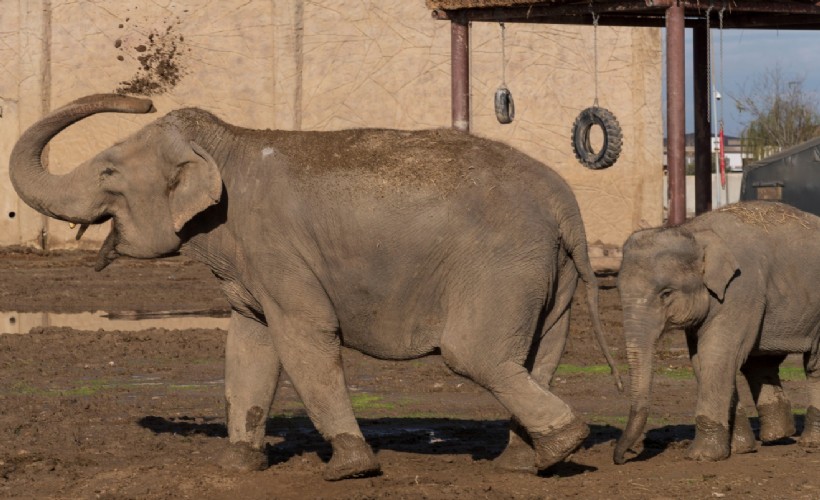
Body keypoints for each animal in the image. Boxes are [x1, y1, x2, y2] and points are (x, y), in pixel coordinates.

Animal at [9, 94, 620, 480]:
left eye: (108, 173)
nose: (144, 100)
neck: (228, 142)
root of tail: (564, 201)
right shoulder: (251, 262)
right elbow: (248, 346)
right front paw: (236, 468)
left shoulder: (276, 248)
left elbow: (304, 338)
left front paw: (348, 469)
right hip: (552, 272)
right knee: (537, 356)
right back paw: (526, 463)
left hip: (502, 266)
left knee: (474, 356)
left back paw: (562, 445)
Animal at [616, 201, 820, 466]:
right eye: (618, 291)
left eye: (666, 293)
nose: (622, 457)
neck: (694, 231)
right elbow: (702, 360)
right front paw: (741, 448)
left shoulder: (741, 288)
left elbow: (717, 355)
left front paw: (702, 456)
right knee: (761, 363)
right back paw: (778, 436)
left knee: (814, 366)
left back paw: (809, 443)